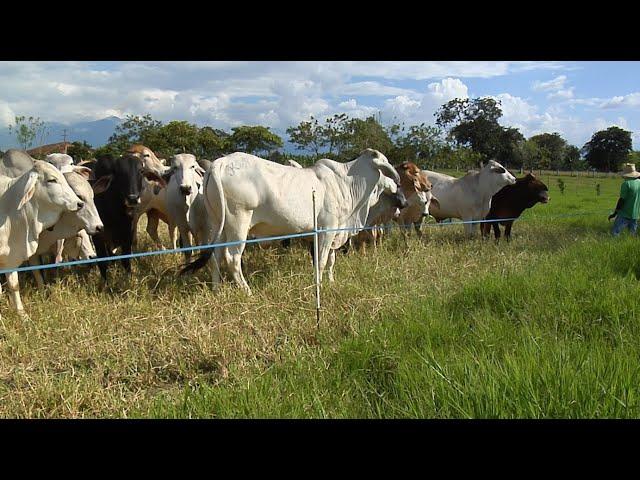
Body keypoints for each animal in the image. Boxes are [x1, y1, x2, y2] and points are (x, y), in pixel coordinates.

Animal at [91, 154, 165, 282]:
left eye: (141, 171)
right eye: (118, 172)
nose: (133, 198)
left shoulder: (128, 234)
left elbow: (126, 260)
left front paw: (128, 281)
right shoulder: (98, 237)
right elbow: (102, 262)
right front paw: (105, 284)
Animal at [180, 149, 400, 292]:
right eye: (384, 166)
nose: (395, 184)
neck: (346, 182)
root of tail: (220, 163)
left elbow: (329, 260)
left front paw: (329, 281)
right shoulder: (327, 229)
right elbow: (321, 261)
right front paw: (318, 286)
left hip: (218, 223)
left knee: (215, 256)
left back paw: (216, 290)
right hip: (238, 221)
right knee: (232, 258)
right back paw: (247, 291)